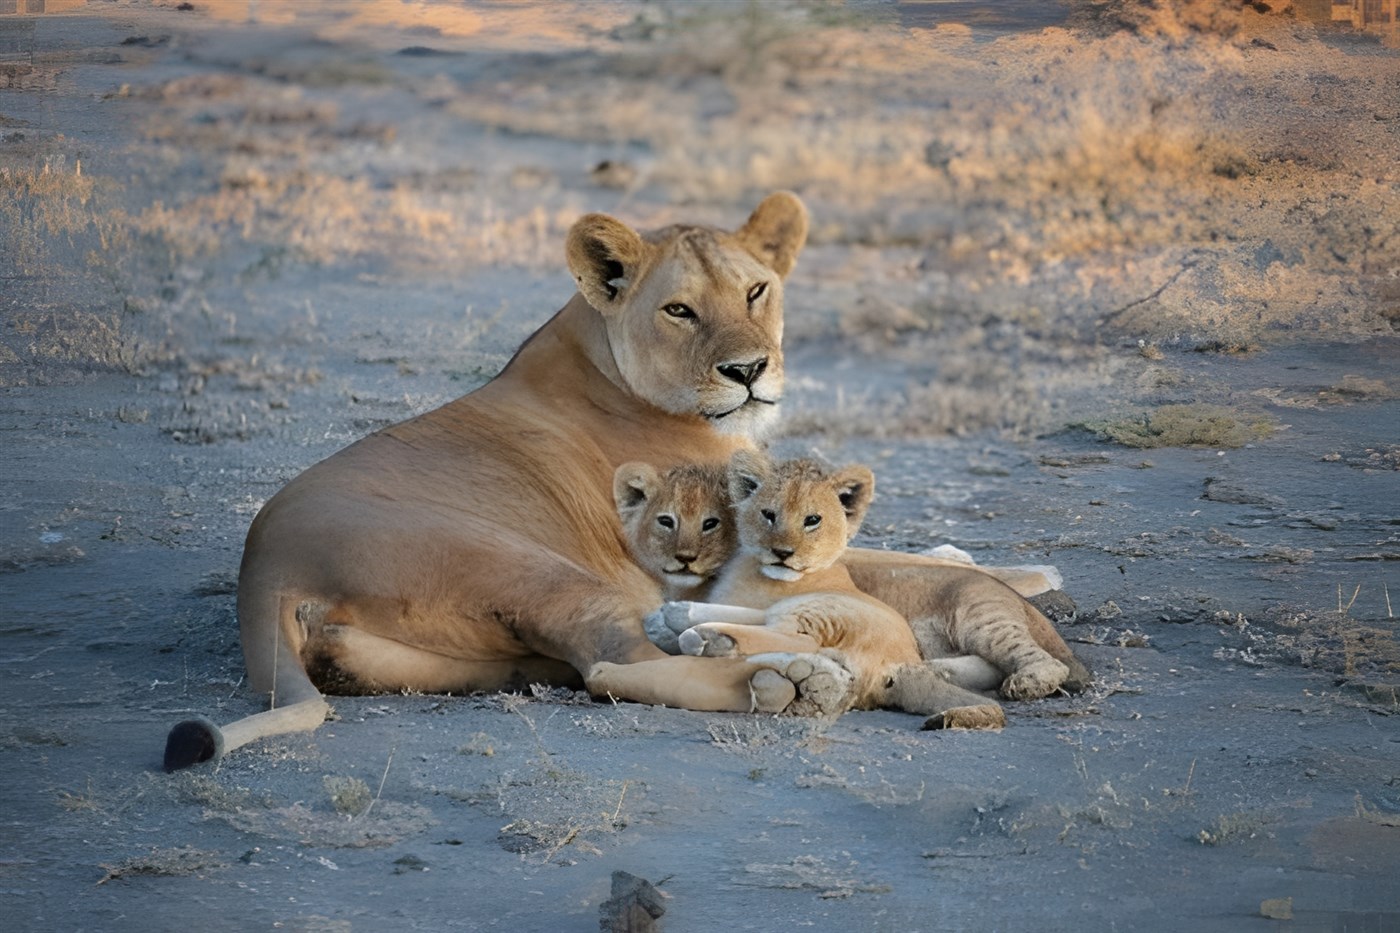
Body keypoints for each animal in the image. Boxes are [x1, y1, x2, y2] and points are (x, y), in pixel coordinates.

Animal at [164, 192, 1073, 770]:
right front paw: (1015, 569)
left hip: (465, 659)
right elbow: (881, 556)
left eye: (756, 289)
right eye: (679, 310)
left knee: (593, 668)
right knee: (618, 663)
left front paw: (967, 560)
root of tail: (265, 568)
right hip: (536, 570)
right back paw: (793, 681)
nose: (750, 370)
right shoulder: (726, 539)